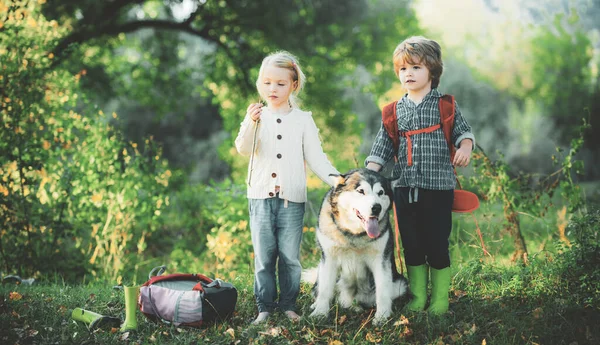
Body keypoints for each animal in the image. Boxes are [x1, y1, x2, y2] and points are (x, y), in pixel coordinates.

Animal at [304, 168, 408, 324]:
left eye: (381, 192)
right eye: (361, 191)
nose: (376, 208)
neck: (354, 234)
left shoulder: (381, 260)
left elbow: (383, 291)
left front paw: (382, 317)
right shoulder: (329, 258)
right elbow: (325, 290)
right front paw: (320, 313)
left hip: (400, 285)